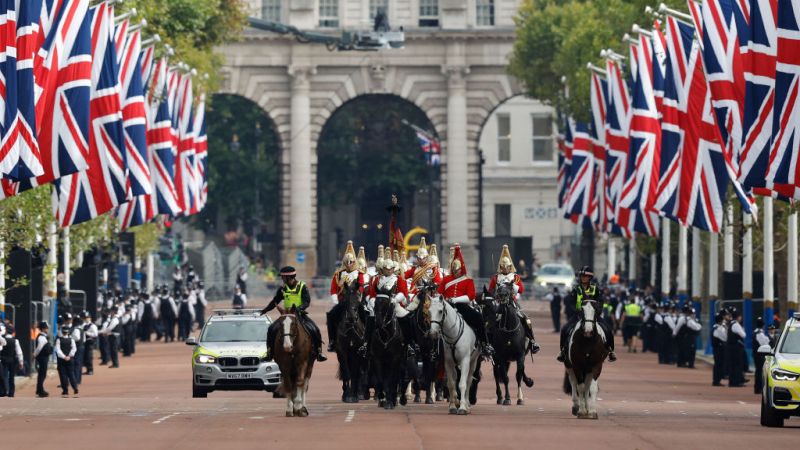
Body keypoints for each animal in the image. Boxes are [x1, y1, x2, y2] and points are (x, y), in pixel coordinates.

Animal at [368, 284, 406, 412]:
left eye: (387, 304)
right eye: (375, 302)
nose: (378, 323)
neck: (385, 335)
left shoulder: (395, 358)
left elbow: (392, 379)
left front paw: (389, 402)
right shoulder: (377, 358)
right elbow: (380, 379)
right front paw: (382, 398)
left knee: (398, 378)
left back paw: (397, 399)